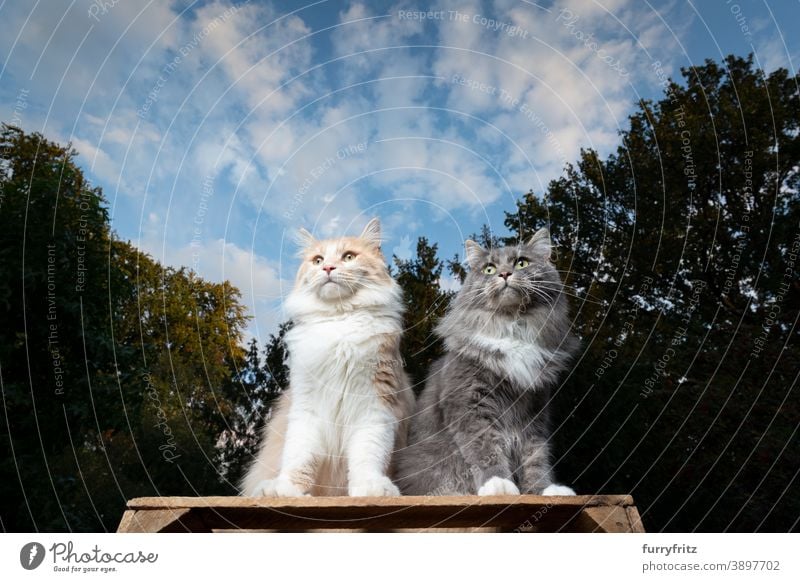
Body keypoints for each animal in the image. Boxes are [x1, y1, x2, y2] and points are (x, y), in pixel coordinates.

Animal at [239, 219, 412, 498]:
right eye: (318, 260)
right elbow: (299, 458)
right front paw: (286, 489)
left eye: (349, 257)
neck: (338, 320)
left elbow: (367, 456)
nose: (328, 268)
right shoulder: (307, 407)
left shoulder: (375, 405)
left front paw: (370, 488)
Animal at [392, 228, 576, 498]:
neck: (511, 326)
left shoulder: (534, 414)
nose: (504, 274)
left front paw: (543, 491)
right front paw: (498, 484)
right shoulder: (470, 403)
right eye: (489, 268)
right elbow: (486, 449)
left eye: (521, 263)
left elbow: (536, 459)